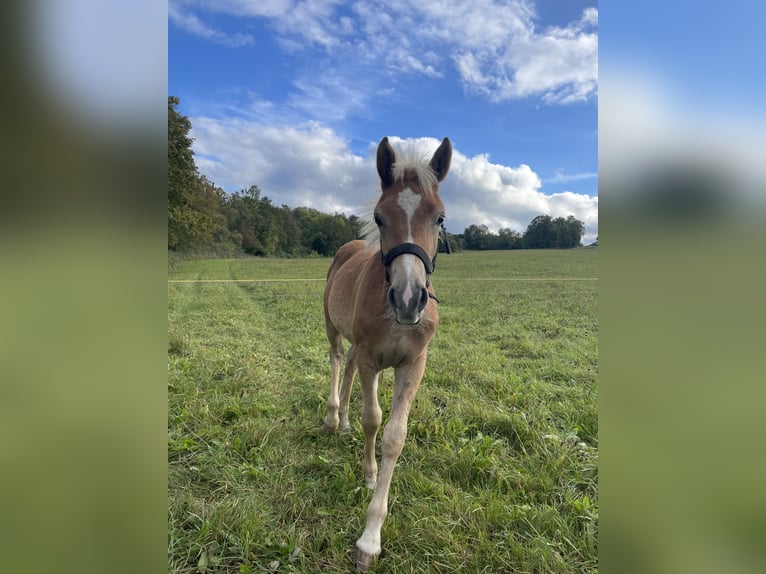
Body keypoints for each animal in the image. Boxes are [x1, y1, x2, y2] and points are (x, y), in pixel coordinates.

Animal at [320, 137, 452, 572]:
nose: (409, 299)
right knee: (336, 361)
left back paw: (342, 420)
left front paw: (372, 534)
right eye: (379, 218)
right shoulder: (371, 360)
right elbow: (372, 420)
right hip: (332, 327)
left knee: (345, 369)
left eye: (440, 218)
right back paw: (333, 418)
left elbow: (394, 435)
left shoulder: (413, 365)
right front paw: (368, 475)